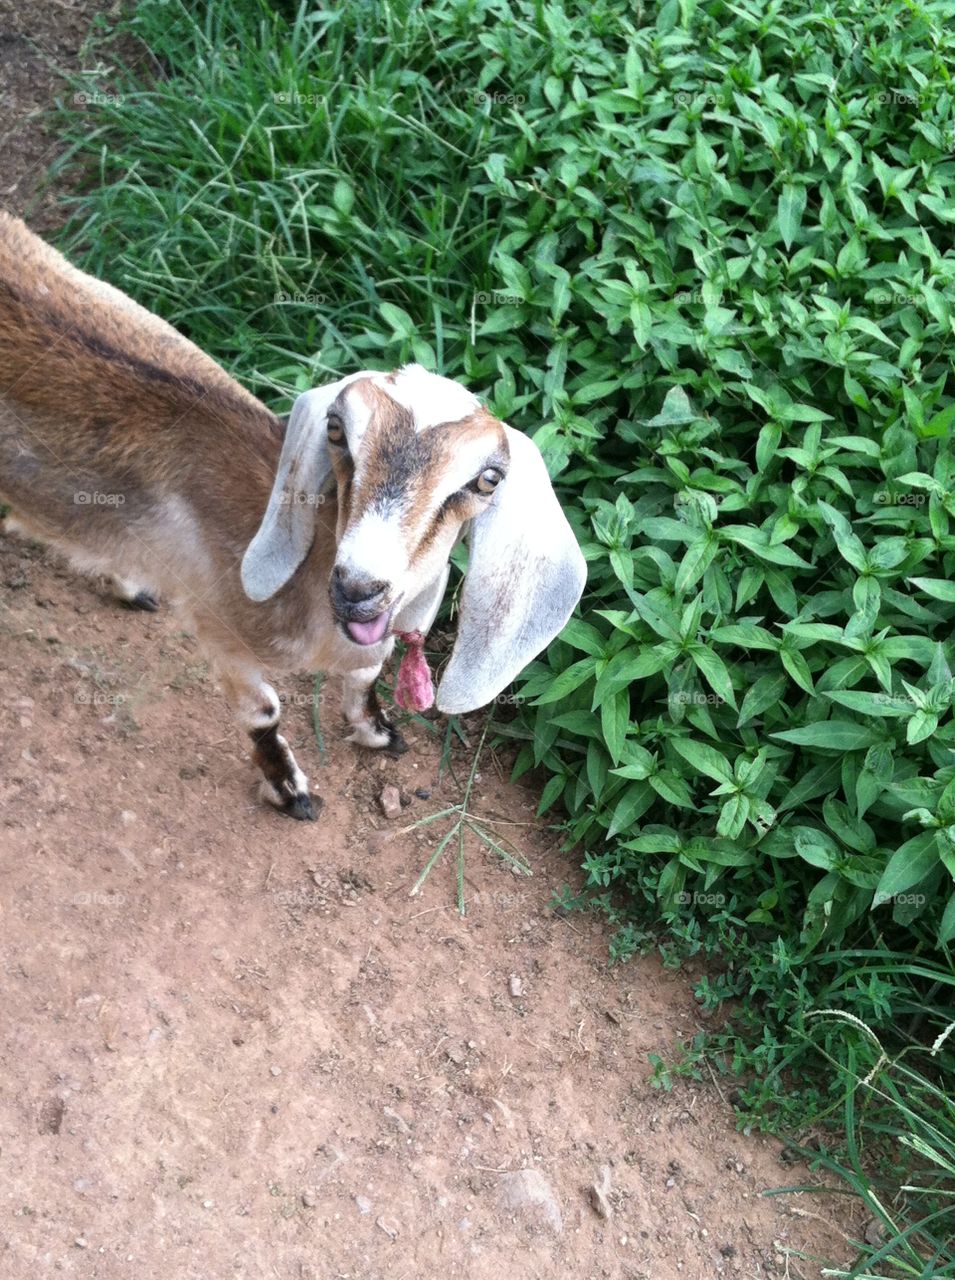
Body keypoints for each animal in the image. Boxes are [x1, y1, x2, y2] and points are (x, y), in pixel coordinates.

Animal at [0, 213, 587, 818]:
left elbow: (364, 677)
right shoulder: (216, 627)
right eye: (336, 430)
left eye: (487, 479)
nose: (357, 589)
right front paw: (289, 788)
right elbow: (264, 712)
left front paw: (377, 731)